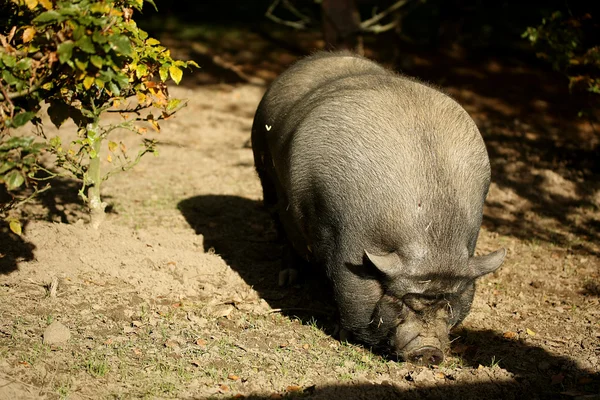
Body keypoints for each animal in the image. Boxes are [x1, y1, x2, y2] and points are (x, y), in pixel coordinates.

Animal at [252, 51, 506, 368]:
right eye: (401, 302)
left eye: (449, 304)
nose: (428, 351)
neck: (433, 240)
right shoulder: (346, 244)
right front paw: (343, 333)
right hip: (266, 173)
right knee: (282, 227)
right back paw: (288, 279)